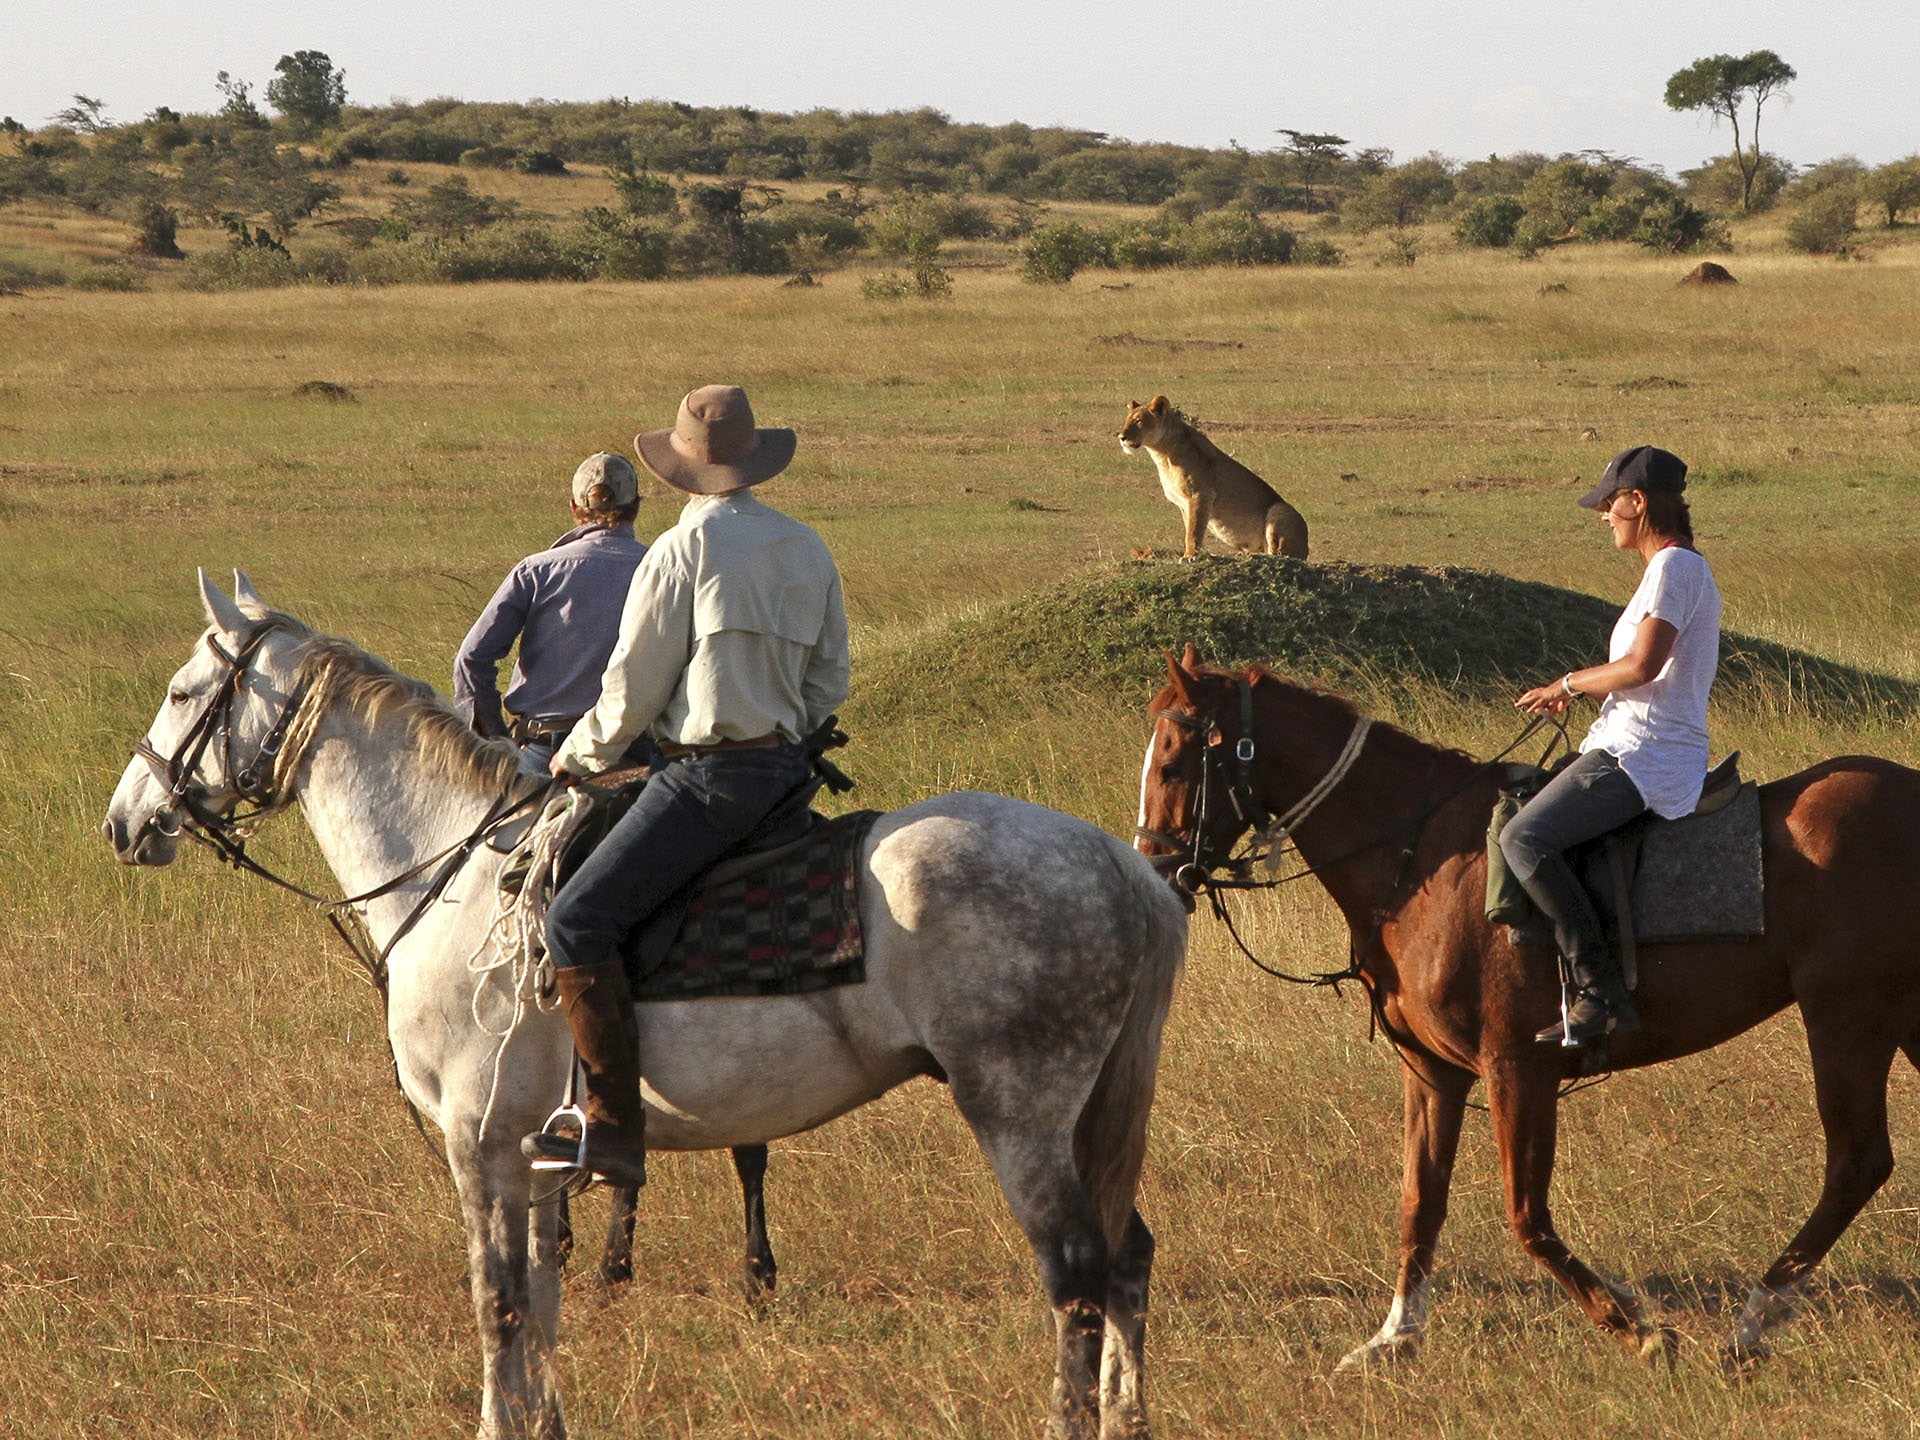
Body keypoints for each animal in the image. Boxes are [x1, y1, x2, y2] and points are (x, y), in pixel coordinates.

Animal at [1128, 648, 1920, 1367]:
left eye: (1172, 766)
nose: (1156, 870)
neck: (1424, 860)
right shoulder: (1434, 1072)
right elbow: (1421, 1201)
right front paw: (1395, 1336)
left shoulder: (1518, 1068)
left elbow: (1525, 1215)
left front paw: (1636, 1327)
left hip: (1846, 1017)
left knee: (1856, 1162)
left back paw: (1753, 1321)